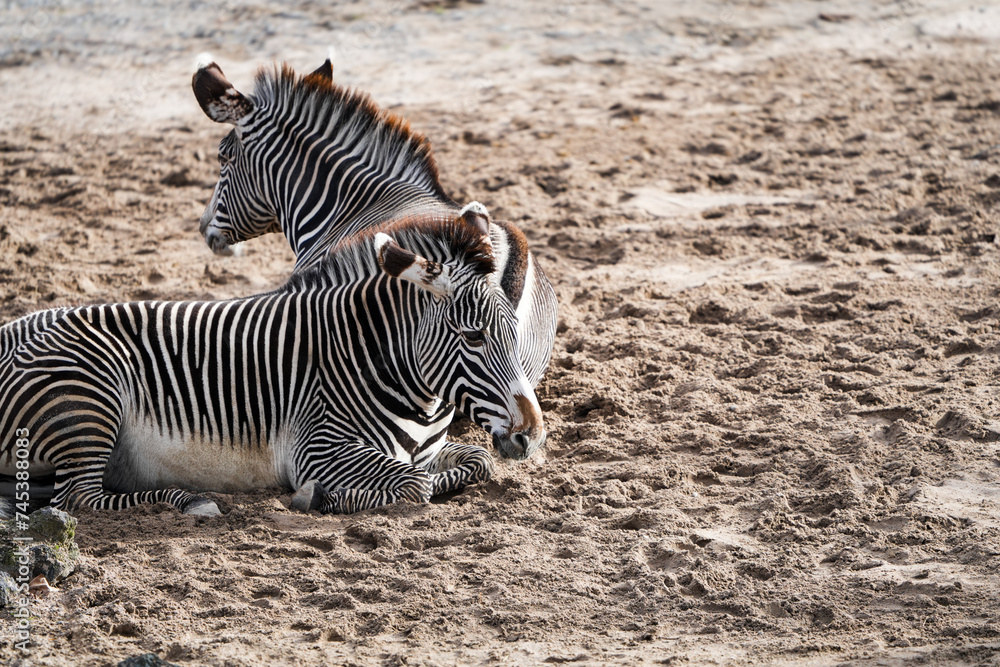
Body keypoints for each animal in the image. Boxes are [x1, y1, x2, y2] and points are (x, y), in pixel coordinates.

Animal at [0, 209, 544, 518]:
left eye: (516, 332)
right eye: (473, 336)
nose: (532, 436)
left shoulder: (429, 450)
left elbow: (473, 463)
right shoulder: (318, 449)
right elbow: (415, 487)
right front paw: (321, 497)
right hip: (88, 394)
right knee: (79, 499)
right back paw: (187, 501)